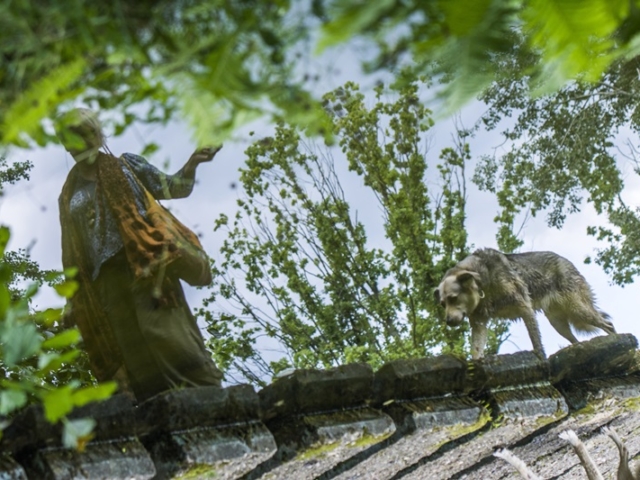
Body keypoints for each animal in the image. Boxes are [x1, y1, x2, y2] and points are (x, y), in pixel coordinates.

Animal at [436, 249, 616, 358]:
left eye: (453, 298)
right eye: (443, 304)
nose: (448, 321)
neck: (482, 281)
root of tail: (566, 261)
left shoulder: (525, 308)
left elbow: (535, 341)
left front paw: (541, 357)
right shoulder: (479, 324)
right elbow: (476, 350)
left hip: (578, 309)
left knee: (608, 324)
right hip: (558, 322)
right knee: (575, 339)